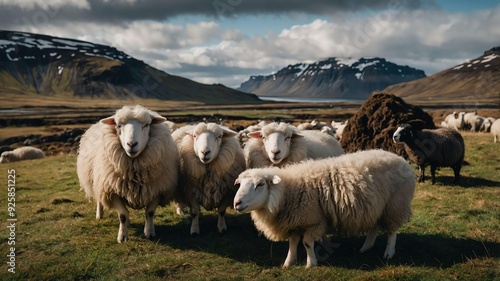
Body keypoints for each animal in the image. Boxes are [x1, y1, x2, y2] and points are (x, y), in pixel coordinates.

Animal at [77, 104, 179, 242]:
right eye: (119, 125)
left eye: (146, 125)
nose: (131, 144)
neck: (134, 171)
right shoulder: (112, 190)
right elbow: (123, 215)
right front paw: (122, 236)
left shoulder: (158, 189)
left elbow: (150, 212)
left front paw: (149, 232)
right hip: (98, 181)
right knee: (99, 199)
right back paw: (99, 214)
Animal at [232, 149, 416, 266]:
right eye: (240, 184)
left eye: (260, 184)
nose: (236, 203)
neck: (287, 192)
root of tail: (401, 159)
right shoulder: (295, 222)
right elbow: (292, 243)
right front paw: (288, 262)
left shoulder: (314, 220)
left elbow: (307, 243)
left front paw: (311, 264)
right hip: (376, 206)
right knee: (374, 226)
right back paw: (366, 247)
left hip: (395, 204)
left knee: (392, 231)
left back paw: (388, 253)